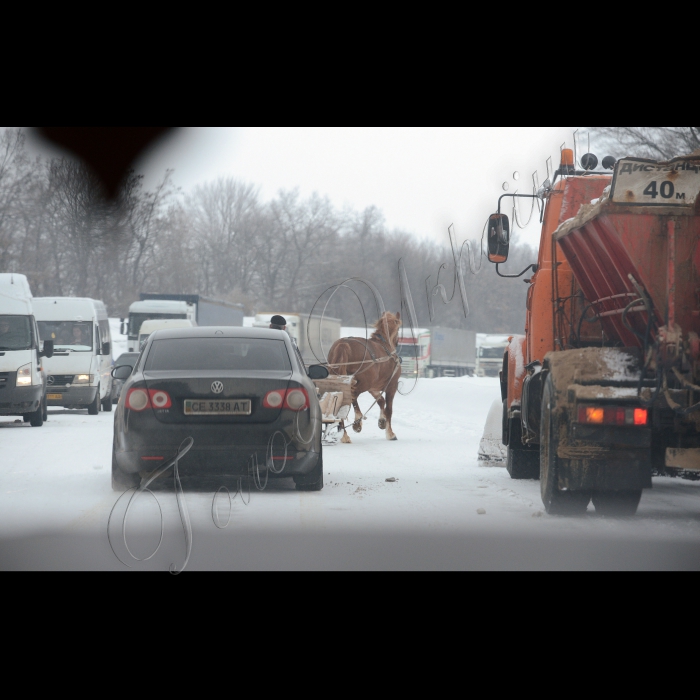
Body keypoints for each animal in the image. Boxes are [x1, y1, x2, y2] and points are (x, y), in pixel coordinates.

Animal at [326, 312, 402, 442]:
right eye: (398, 328)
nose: (397, 342)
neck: (384, 344)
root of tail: (344, 344)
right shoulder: (392, 386)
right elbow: (389, 409)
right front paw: (390, 433)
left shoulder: (373, 388)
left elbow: (380, 401)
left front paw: (382, 421)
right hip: (363, 384)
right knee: (351, 398)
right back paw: (355, 423)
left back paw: (344, 432)